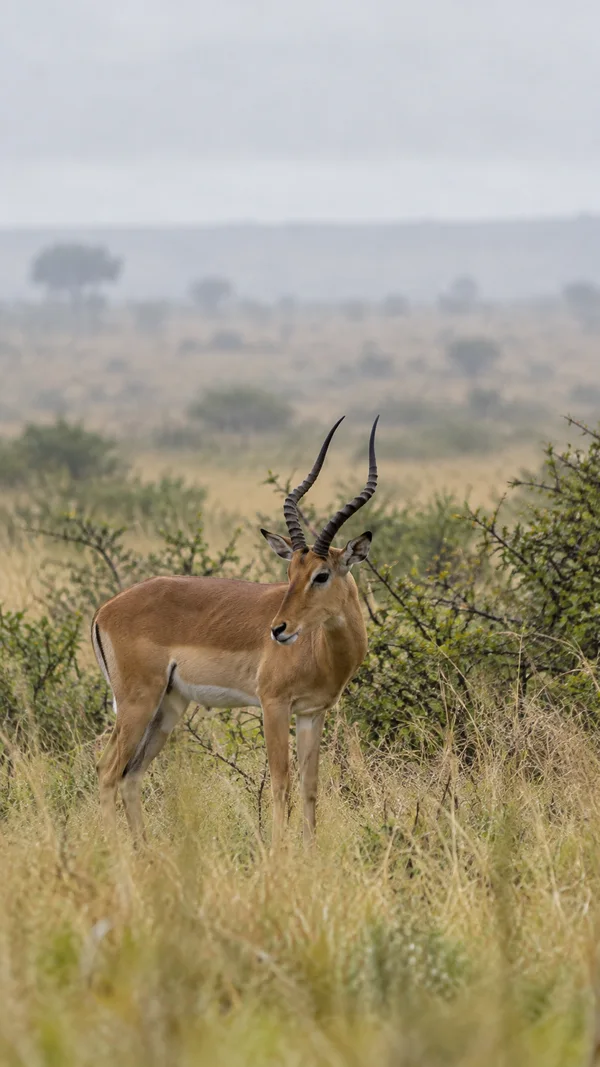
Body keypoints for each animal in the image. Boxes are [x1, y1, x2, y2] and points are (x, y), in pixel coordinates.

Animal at [92, 415, 379, 846]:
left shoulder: (313, 714)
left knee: (131, 774)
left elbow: (310, 787)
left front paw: (309, 850)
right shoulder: (273, 705)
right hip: (137, 703)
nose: (278, 629)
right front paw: (278, 852)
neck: (320, 652)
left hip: (168, 706)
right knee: (108, 772)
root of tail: (105, 610)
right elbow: (281, 783)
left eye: (321, 574)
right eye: (290, 574)